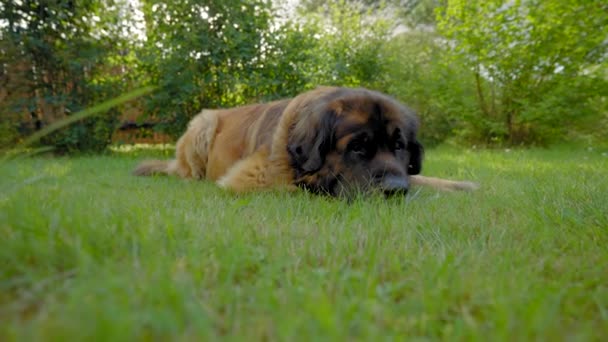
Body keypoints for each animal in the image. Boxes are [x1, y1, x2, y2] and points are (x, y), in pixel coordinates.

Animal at [134, 87, 480, 196]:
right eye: (357, 147)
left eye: (399, 146)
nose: (395, 191)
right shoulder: (252, 179)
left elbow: (422, 179)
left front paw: (463, 185)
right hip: (203, 124)